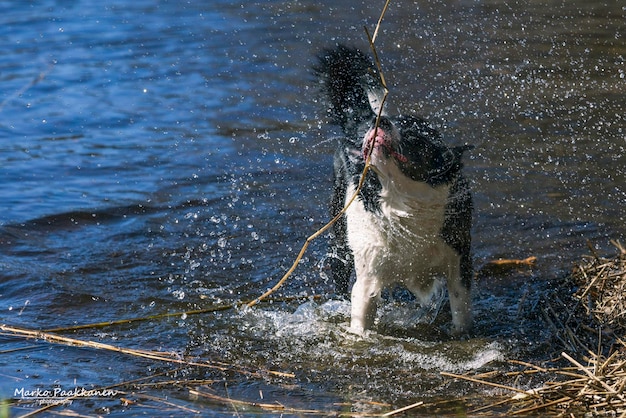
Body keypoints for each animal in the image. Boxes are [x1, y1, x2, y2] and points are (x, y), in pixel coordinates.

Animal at [314, 44, 470, 334]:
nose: (381, 122)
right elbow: (360, 319)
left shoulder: (459, 262)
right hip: (339, 244)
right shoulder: (367, 278)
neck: (403, 198)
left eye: (416, 137)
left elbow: (461, 310)